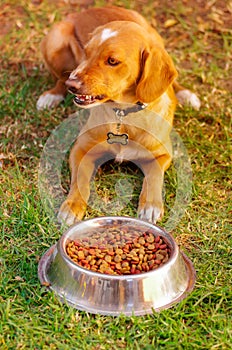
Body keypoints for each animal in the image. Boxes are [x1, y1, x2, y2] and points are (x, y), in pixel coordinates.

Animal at [37, 7, 200, 227]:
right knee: (60, 78)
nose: (73, 85)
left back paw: (186, 94)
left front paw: (151, 205)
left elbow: (154, 176)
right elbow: (80, 180)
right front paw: (71, 206)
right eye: (86, 52)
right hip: (54, 39)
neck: (123, 115)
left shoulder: (162, 155)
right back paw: (52, 95)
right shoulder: (81, 149)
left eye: (112, 61)